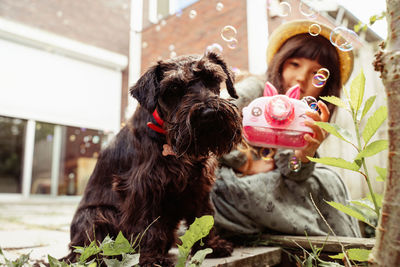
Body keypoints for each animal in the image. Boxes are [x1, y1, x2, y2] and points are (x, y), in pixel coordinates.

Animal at [64, 52, 242, 267]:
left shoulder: (199, 183)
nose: (208, 113)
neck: (167, 135)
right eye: (173, 88)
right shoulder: (144, 187)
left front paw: (211, 246)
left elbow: (203, 214)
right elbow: (147, 225)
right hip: (96, 215)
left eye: (212, 78)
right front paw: (151, 258)